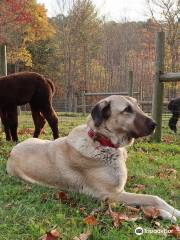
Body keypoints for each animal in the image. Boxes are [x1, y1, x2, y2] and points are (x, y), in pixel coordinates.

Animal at [6, 95, 179, 221]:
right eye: (127, 110)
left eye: (139, 106)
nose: (155, 124)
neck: (102, 142)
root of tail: (12, 152)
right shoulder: (110, 195)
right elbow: (152, 198)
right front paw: (172, 212)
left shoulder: (118, 193)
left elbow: (145, 202)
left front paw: (165, 213)